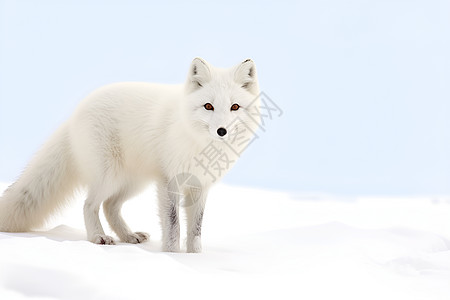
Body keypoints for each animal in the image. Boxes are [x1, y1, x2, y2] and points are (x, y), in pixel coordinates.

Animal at [0, 57, 260, 252]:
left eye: (234, 107)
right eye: (208, 106)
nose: (222, 131)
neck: (198, 143)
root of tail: (74, 115)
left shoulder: (200, 186)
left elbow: (196, 229)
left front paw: (196, 257)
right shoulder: (169, 182)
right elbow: (173, 225)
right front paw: (173, 256)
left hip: (134, 183)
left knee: (110, 206)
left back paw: (128, 236)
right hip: (109, 176)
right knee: (90, 204)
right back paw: (98, 237)